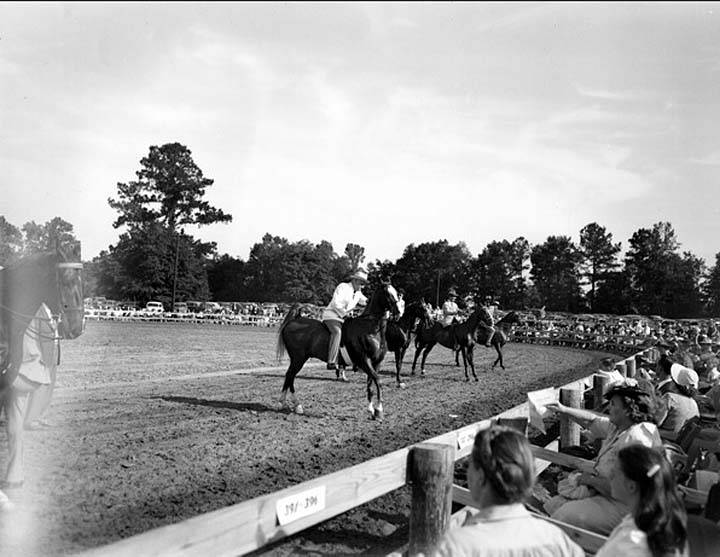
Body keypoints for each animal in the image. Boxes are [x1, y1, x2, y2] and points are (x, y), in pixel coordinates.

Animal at [276, 284, 400, 420]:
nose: (398, 313)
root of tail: (296, 319)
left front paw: (372, 410)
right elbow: (378, 380)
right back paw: (290, 404)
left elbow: (370, 385)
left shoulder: (376, 363)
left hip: (298, 359)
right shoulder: (364, 361)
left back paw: (290, 405)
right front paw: (379, 411)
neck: (370, 329)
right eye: (388, 293)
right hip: (298, 359)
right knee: (290, 375)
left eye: (397, 293)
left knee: (290, 376)